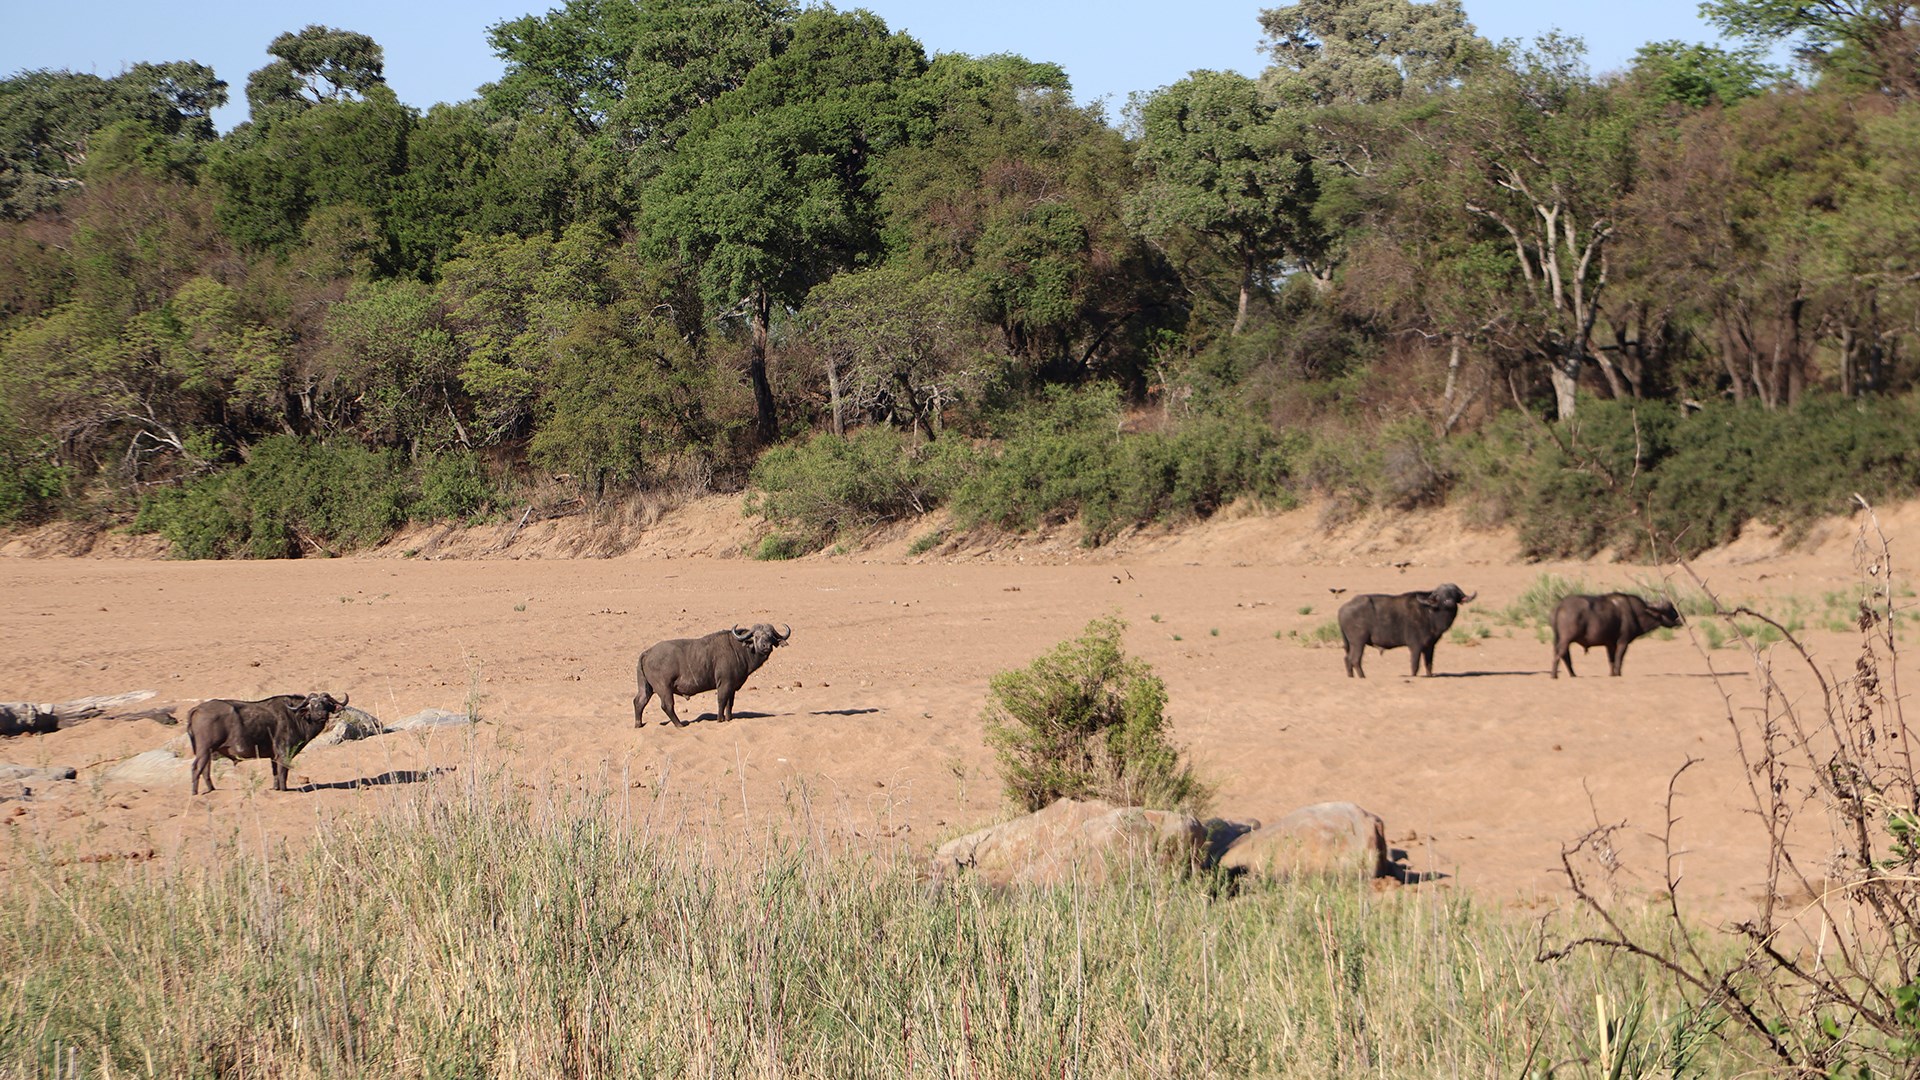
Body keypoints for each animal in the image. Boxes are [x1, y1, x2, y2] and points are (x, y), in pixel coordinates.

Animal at [188, 692, 349, 795]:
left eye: (326, 704)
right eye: (312, 704)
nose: (322, 715)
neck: (296, 716)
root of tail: (198, 708)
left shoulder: (273, 756)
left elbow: (275, 773)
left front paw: (276, 788)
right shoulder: (284, 753)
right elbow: (283, 772)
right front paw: (284, 789)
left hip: (208, 751)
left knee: (205, 769)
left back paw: (211, 789)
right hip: (204, 749)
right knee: (196, 767)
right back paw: (195, 792)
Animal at [634, 623, 791, 728]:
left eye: (770, 637)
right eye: (756, 636)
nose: (766, 647)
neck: (739, 648)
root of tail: (647, 652)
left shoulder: (732, 686)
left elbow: (730, 703)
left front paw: (729, 718)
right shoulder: (724, 684)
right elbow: (721, 701)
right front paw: (720, 719)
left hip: (647, 688)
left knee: (639, 701)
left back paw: (638, 724)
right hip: (664, 688)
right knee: (667, 705)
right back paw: (680, 725)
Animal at [1338, 584, 1476, 678]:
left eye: (1454, 593)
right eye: (1440, 595)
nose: (1449, 602)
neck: (1430, 613)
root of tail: (1342, 609)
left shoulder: (1430, 646)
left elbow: (1429, 664)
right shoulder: (1415, 646)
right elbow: (1415, 665)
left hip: (1351, 644)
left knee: (1347, 659)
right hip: (1358, 642)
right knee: (1355, 660)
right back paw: (1363, 676)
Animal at [1551, 593, 1683, 678]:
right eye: (1671, 610)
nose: (1681, 620)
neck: (1635, 613)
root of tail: (1561, 605)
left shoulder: (1610, 644)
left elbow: (1611, 660)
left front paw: (1612, 674)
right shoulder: (1623, 642)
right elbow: (1619, 658)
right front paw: (1618, 674)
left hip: (1559, 639)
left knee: (1564, 655)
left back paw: (1572, 674)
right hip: (1565, 640)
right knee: (1560, 655)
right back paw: (1554, 675)